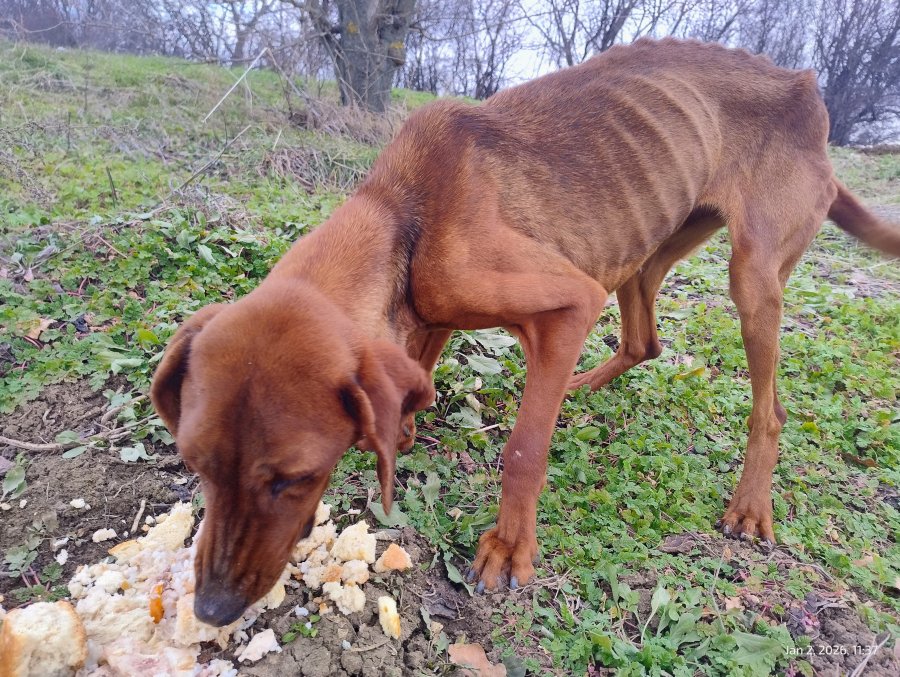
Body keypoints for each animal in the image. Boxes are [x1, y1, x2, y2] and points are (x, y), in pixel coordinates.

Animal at [150, 38, 900, 626]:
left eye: (295, 478)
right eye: (196, 465)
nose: (211, 609)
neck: (401, 213)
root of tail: (808, 93)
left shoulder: (568, 303)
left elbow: (524, 448)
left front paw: (511, 547)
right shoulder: (434, 313)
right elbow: (416, 373)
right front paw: (404, 427)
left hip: (751, 276)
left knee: (769, 408)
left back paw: (747, 506)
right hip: (643, 247)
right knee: (645, 340)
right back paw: (586, 384)